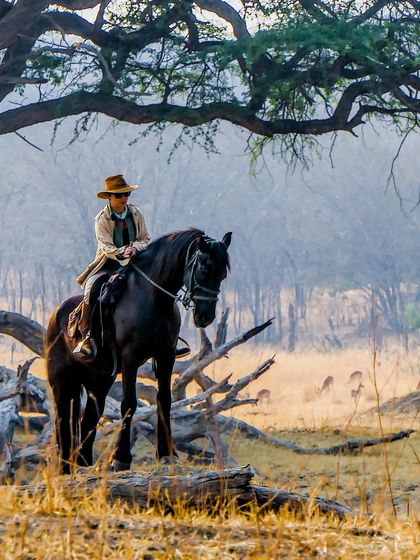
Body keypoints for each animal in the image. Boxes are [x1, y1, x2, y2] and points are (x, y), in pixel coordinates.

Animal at [47, 228, 231, 472]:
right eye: (204, 269)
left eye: (223, 274)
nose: (205, 316)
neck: (153, 297)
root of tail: (55, 315)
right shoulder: (130, 358)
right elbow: (129, 403)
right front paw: (120, 458)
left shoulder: (166, 356)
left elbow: (164, 399)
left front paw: (167, 453)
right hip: (62, 381)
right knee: (63, 419)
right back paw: (65, 467)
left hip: (99, 380)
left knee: (90, 415)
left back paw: (83, 462)